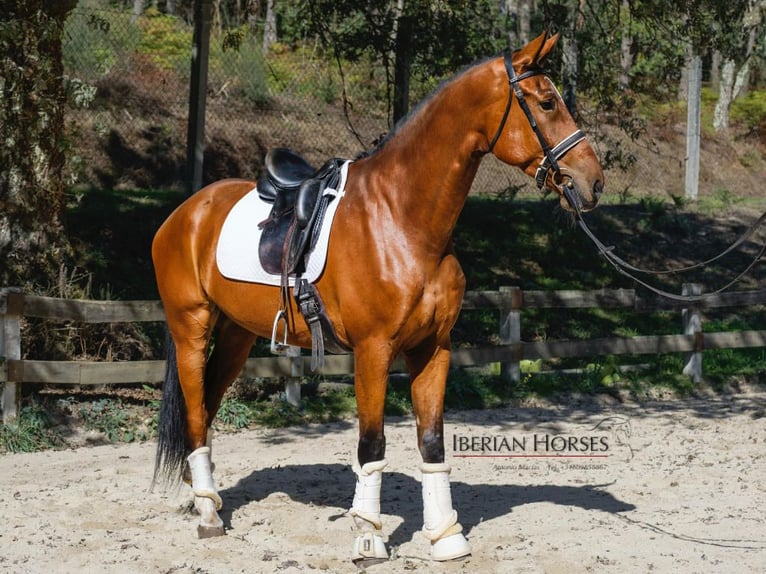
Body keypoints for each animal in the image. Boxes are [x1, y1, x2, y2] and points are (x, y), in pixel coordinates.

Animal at [151, 30, 604, 563]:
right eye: (547, 102)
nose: (593, 181)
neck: (402, 218)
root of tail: (184, 213)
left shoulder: (433, 347)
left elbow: (432, 441)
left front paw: (446, 536)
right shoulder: (373, 351)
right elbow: (372, 444)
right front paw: (368, 537)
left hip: (237, 337)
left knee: (205, 409)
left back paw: (204, 496)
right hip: (191, 330)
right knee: (195, 413)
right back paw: (208, 516)